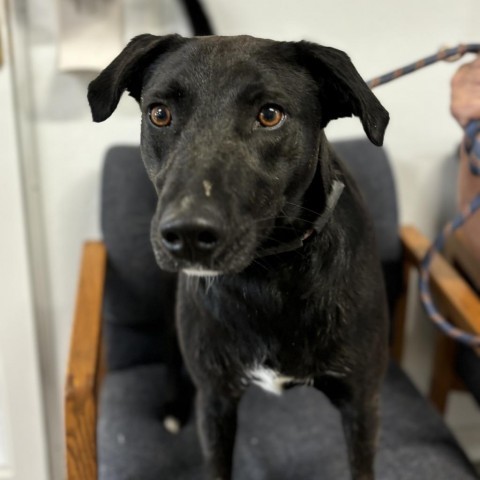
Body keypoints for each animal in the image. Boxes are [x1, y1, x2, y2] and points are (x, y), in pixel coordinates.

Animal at [89, 34, 390, 480]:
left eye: (270, 115)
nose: (188, 233)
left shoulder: (362, 402)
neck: (270, 273)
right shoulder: (216, 401)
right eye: (160, 113)